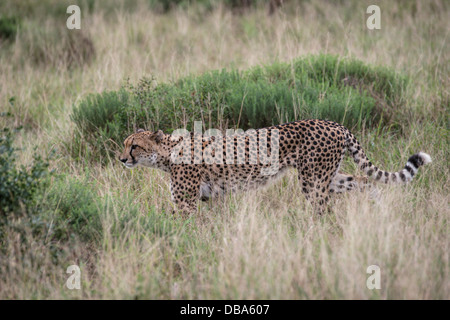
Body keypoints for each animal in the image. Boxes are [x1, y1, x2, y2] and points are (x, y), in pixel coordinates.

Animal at [119, 118, 432, 215]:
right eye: (125, 144)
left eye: (134, 146)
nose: (122, 159)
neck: (167, 152)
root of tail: (334, 123)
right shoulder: (208, 199)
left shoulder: (187, 202)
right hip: (326, 176)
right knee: (364, 182)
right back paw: (379, 210)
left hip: (313, 181)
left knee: (324, 210)